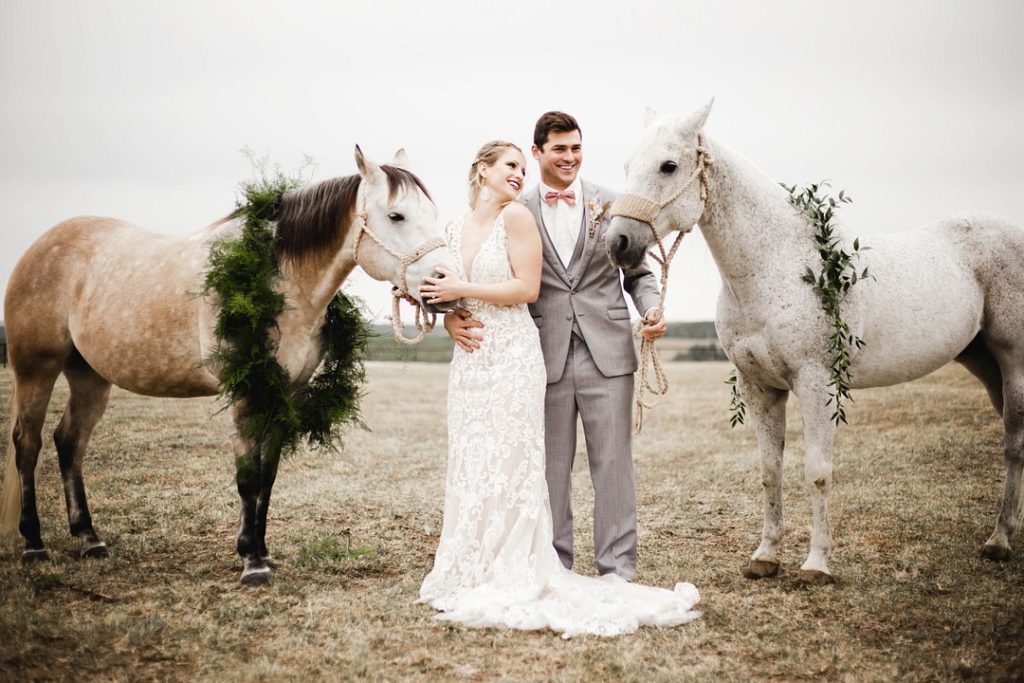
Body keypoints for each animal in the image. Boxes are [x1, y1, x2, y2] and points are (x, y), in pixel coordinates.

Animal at [0, 147, 456, 585]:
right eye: (396, 215)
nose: (444, 285)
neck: (278, 280)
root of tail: (38, 247)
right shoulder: (244, 394)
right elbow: (247, 477)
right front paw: (252, 563)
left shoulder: (283, 394)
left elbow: (267, 475)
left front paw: (261, 551)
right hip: (36, 369)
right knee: (28, 443)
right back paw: (34, 544)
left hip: (89, 377)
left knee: (69, 442)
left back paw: (89, 538)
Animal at [606, 104, 1024, 585]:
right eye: (627, 167)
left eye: (668, 166)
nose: (617, 243)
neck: (776, 265)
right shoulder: (760, 387)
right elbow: (770, 471)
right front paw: (766, 556)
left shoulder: (815, 383)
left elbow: (817, 473)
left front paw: (816, 564)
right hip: (983, 363)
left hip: (1014, 363)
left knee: (1013, 444)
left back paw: (999, 541)